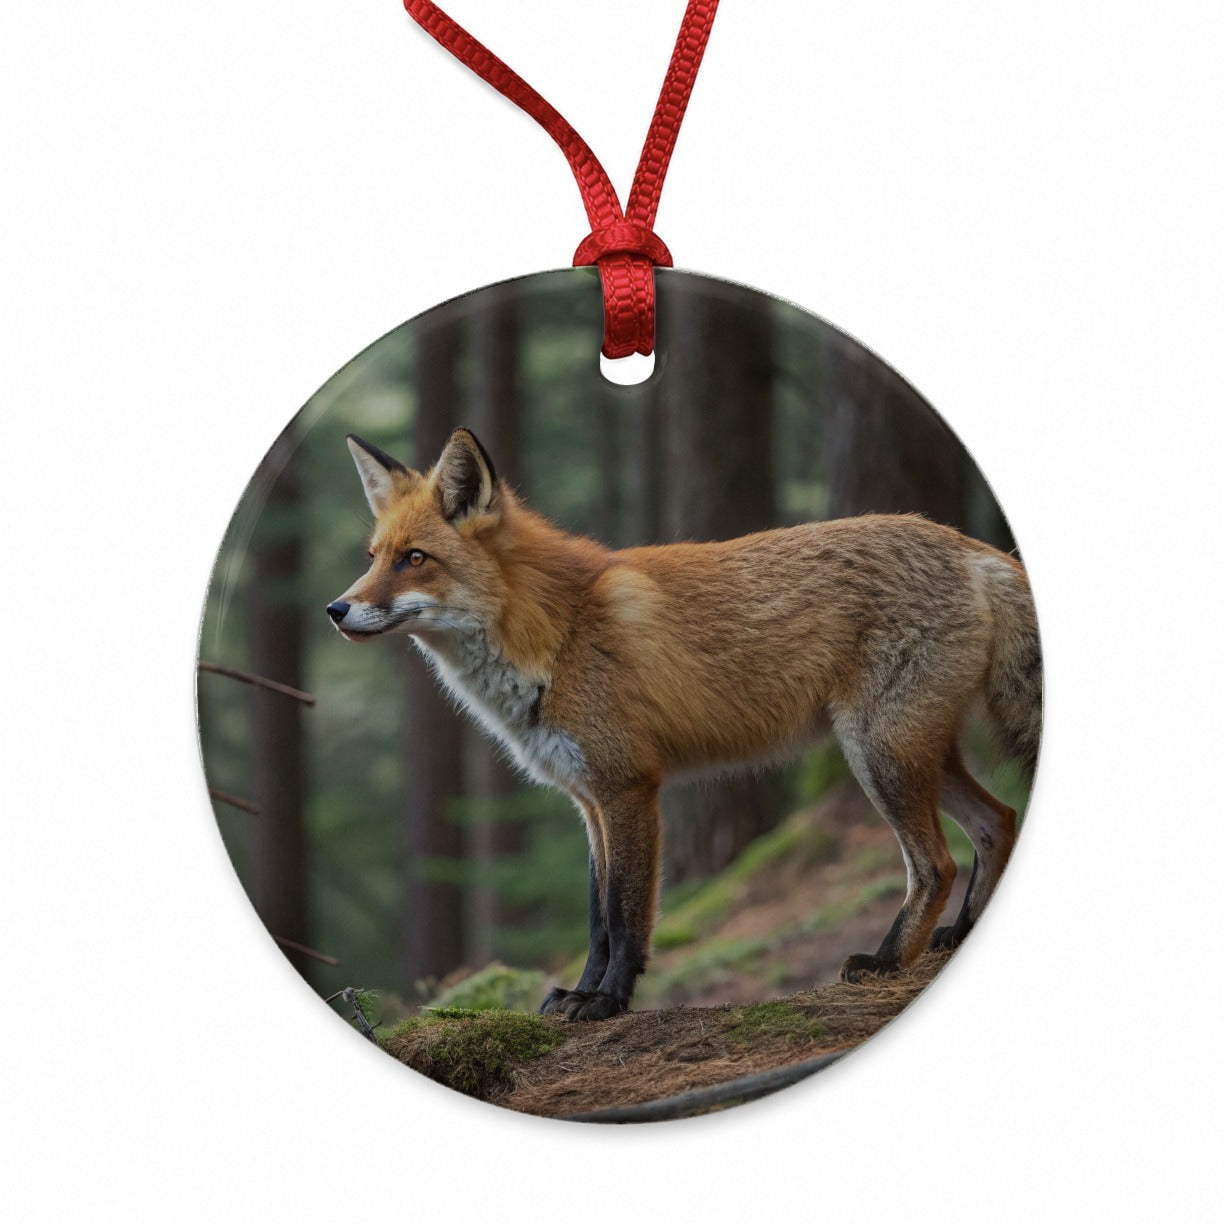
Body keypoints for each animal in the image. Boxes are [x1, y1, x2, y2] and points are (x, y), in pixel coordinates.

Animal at [327, 427, 1041, 1021]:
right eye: (374, 556)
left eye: (415, 559)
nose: (335, 609)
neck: (554, 633)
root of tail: (976, 550)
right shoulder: (589, 800)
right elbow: (596, 921)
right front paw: (580, 995)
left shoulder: (630, 787)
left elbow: (625, 917)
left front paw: (607, 1003)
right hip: (915, 754)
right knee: (998, 820)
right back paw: (961, 935)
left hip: (879, 755)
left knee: (936, 864)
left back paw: (888, 961)